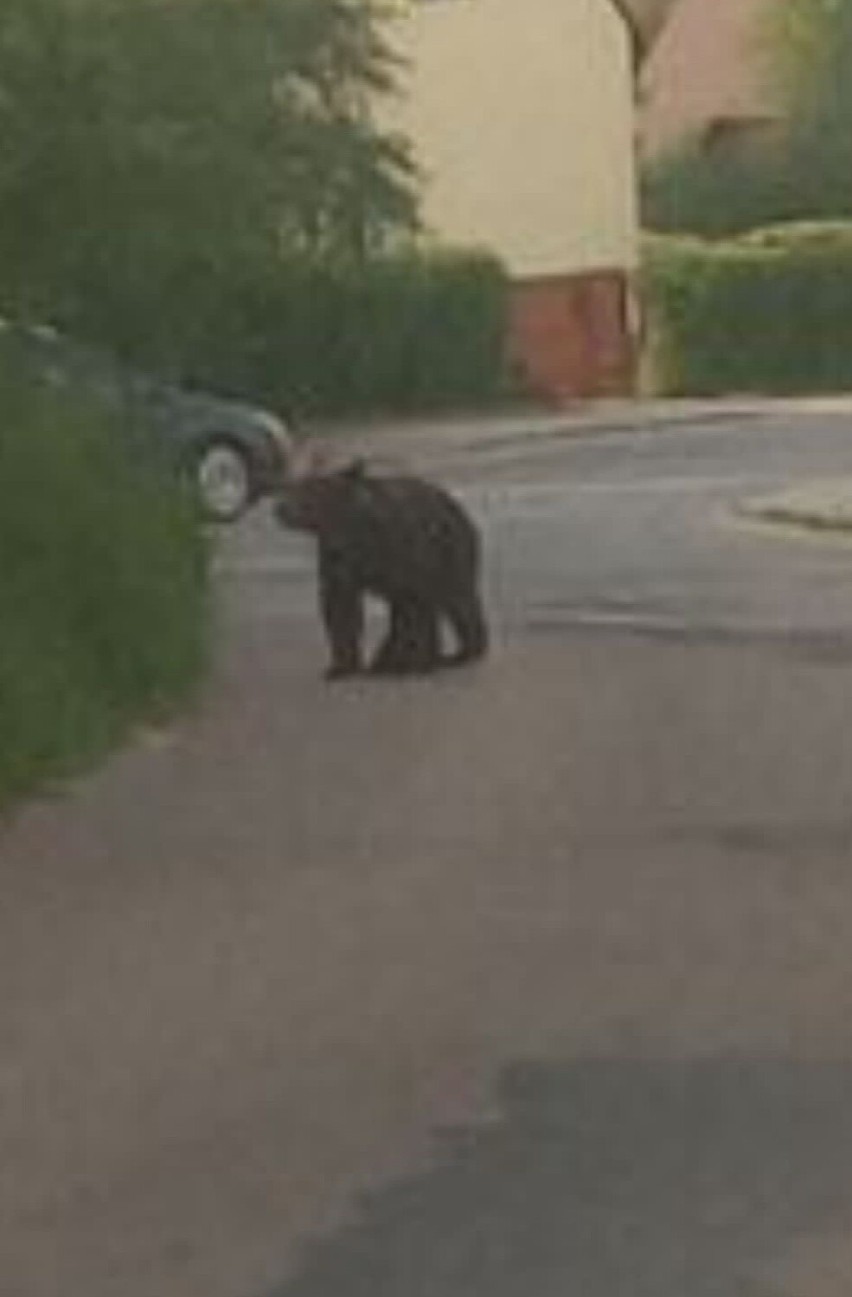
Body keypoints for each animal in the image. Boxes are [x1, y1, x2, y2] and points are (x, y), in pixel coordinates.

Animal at [272, 456, 485, 679]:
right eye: (293, 487)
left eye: (310, 490)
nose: (281, 508)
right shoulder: (337, 557)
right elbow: (340, 606)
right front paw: (341, 667)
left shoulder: (399, 549)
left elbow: (416, 604)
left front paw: (417, 662)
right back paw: (392, 661)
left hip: (451, 549)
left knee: (456, 598)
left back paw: (460, 652)